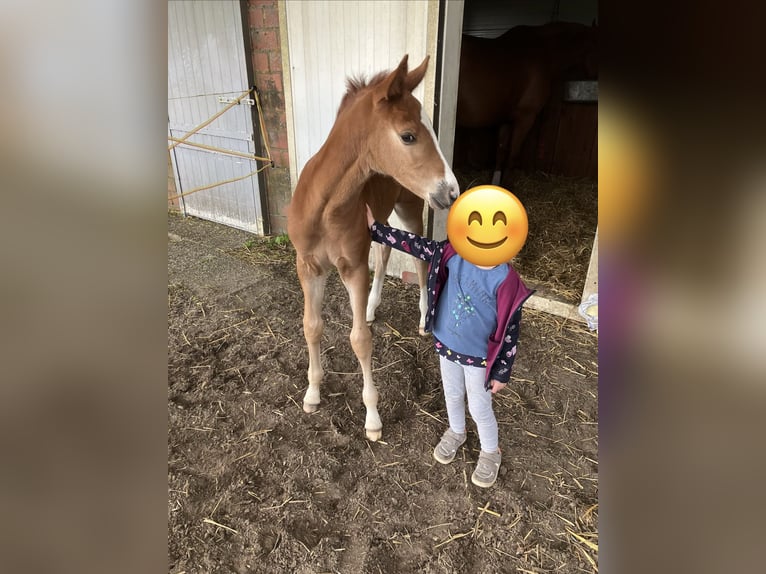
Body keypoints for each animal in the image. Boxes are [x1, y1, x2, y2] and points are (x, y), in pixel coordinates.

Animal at [286, 55, 459, 442]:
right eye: (408, 136)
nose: (452, 191)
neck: (325, 205)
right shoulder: (308, 265)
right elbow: (311, 326)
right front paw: (312, 393)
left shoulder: (352, 266)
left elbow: (360, 340)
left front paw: (373, 418)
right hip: (381, 216)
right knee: (384, 253)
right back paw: (370, 306)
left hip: (410, 208)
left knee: (419, 259)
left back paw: (422, 318)